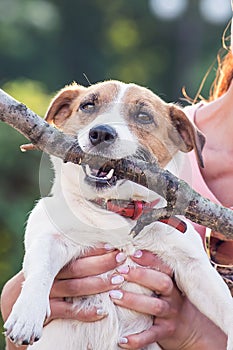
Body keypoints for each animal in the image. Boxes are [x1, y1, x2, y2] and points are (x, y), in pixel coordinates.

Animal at [3, 80, 233, 348]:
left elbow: (225, 304)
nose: (101, 133)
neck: (120, 210)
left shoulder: (193, 267)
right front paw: (26, 315)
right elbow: (40, 269)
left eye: (143, 116)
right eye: (87, 105)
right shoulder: (51, 237)